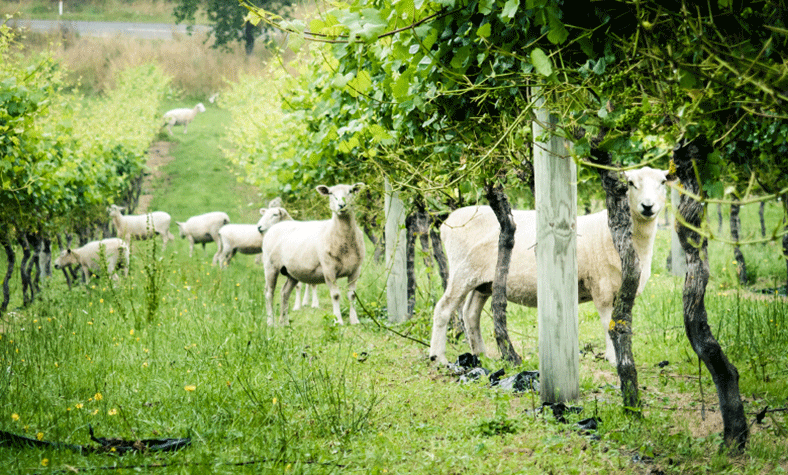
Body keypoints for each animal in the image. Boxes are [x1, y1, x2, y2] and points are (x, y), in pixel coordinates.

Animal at [264, 183, 364, 328]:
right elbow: (336, 295)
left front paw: (354, 320)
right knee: (269, 293)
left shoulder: (355, 269)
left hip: (291, 272)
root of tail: (276, 226)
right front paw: (338, 320)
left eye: (351, 191)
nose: (342, 205)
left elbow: (352, 295)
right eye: (331, 193)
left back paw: (285, 322)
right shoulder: (329, 269)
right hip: (270, 266)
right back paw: (271, 322)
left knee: (284, 293)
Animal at [430, 168, 672, 368]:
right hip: (462, 270)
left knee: (470, 313)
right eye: (630, 183)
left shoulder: (626, 290)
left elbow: (621, 323)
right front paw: (614, 360)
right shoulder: (600, 287)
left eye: (662, 182)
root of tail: (449, 221)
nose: (648, 206)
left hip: (484, 280)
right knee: (443, 308)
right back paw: (438, 358)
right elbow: (608, 324)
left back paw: (481, 355)